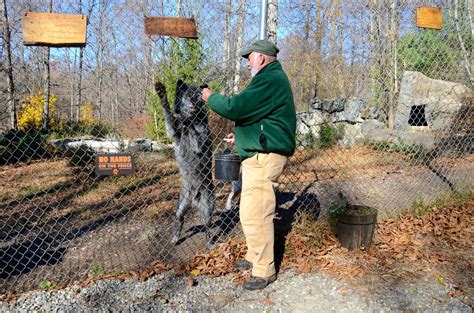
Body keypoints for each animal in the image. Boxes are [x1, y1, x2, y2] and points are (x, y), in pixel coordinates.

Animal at [155, 78, 216, 249]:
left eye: (198, 95)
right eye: (188, 94)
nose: (194, 104)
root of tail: (194, 200)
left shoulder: (200, 142)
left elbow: (196, 127)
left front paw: (191, 120)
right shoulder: (173, 132)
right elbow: (169, 114)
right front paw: (162, 94)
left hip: (208, 209)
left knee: (208, 226)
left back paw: (209, 243)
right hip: (179, 208)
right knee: (180, 221)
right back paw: (175, 238)